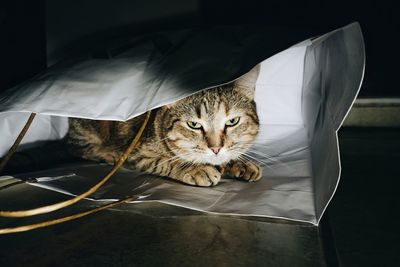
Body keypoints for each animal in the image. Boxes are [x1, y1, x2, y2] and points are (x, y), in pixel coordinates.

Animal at [68, 65, 262, 187]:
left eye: (232, 121)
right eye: (193, 124)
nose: (216, 148)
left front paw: (241, 163)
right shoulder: (137, 153)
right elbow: (166, 161)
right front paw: (197, 169)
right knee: (78, 148)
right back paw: (107, 154)